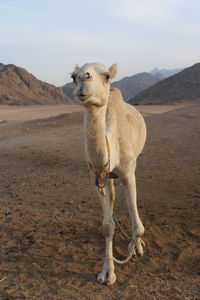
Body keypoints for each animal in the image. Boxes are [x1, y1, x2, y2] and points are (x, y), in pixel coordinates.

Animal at [71, 62, 146, 284]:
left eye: (106, 76)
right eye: (72, 77)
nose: (83, 78)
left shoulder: (128, 173)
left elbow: (137, 226)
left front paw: (135, 247)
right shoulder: (97, 177)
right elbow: (107, 226)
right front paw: (107, 272)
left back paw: (135, 245)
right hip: (109, 178)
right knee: (112, 196)